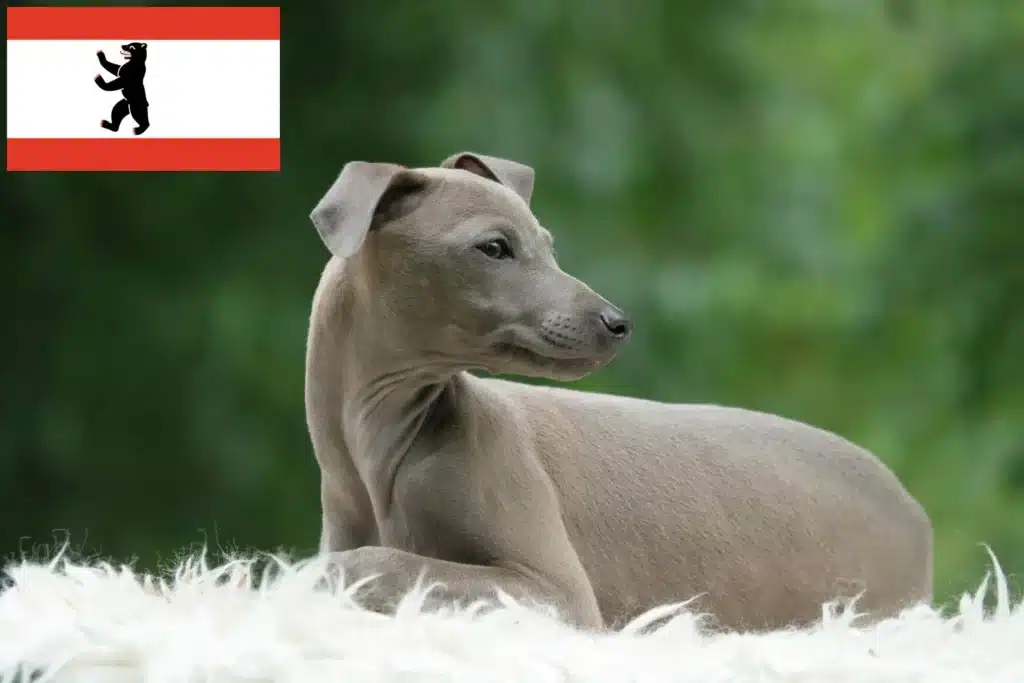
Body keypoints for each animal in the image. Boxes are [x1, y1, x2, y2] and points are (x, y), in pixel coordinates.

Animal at [299, 152, 933, 634]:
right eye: (495, 247)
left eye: (548, 244)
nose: (618, 323)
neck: (385, 444)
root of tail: (911, 506)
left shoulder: (555, 593)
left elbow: (375, 563)